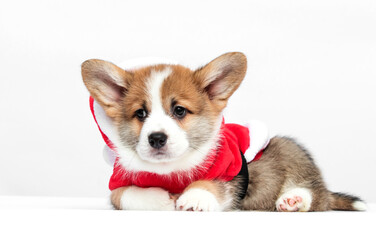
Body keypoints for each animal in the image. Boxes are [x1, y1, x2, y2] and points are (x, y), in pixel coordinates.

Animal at [81, 51, 366, 211]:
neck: (170, 171)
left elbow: (211, 183)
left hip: (289, 150)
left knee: (319, 196)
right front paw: (159, 199)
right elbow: (123, 194)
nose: (157, 139)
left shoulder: (231, 171)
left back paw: (294, 200)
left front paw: (195, 197)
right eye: (140, 114)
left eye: (180, 111)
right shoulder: (118, 182)